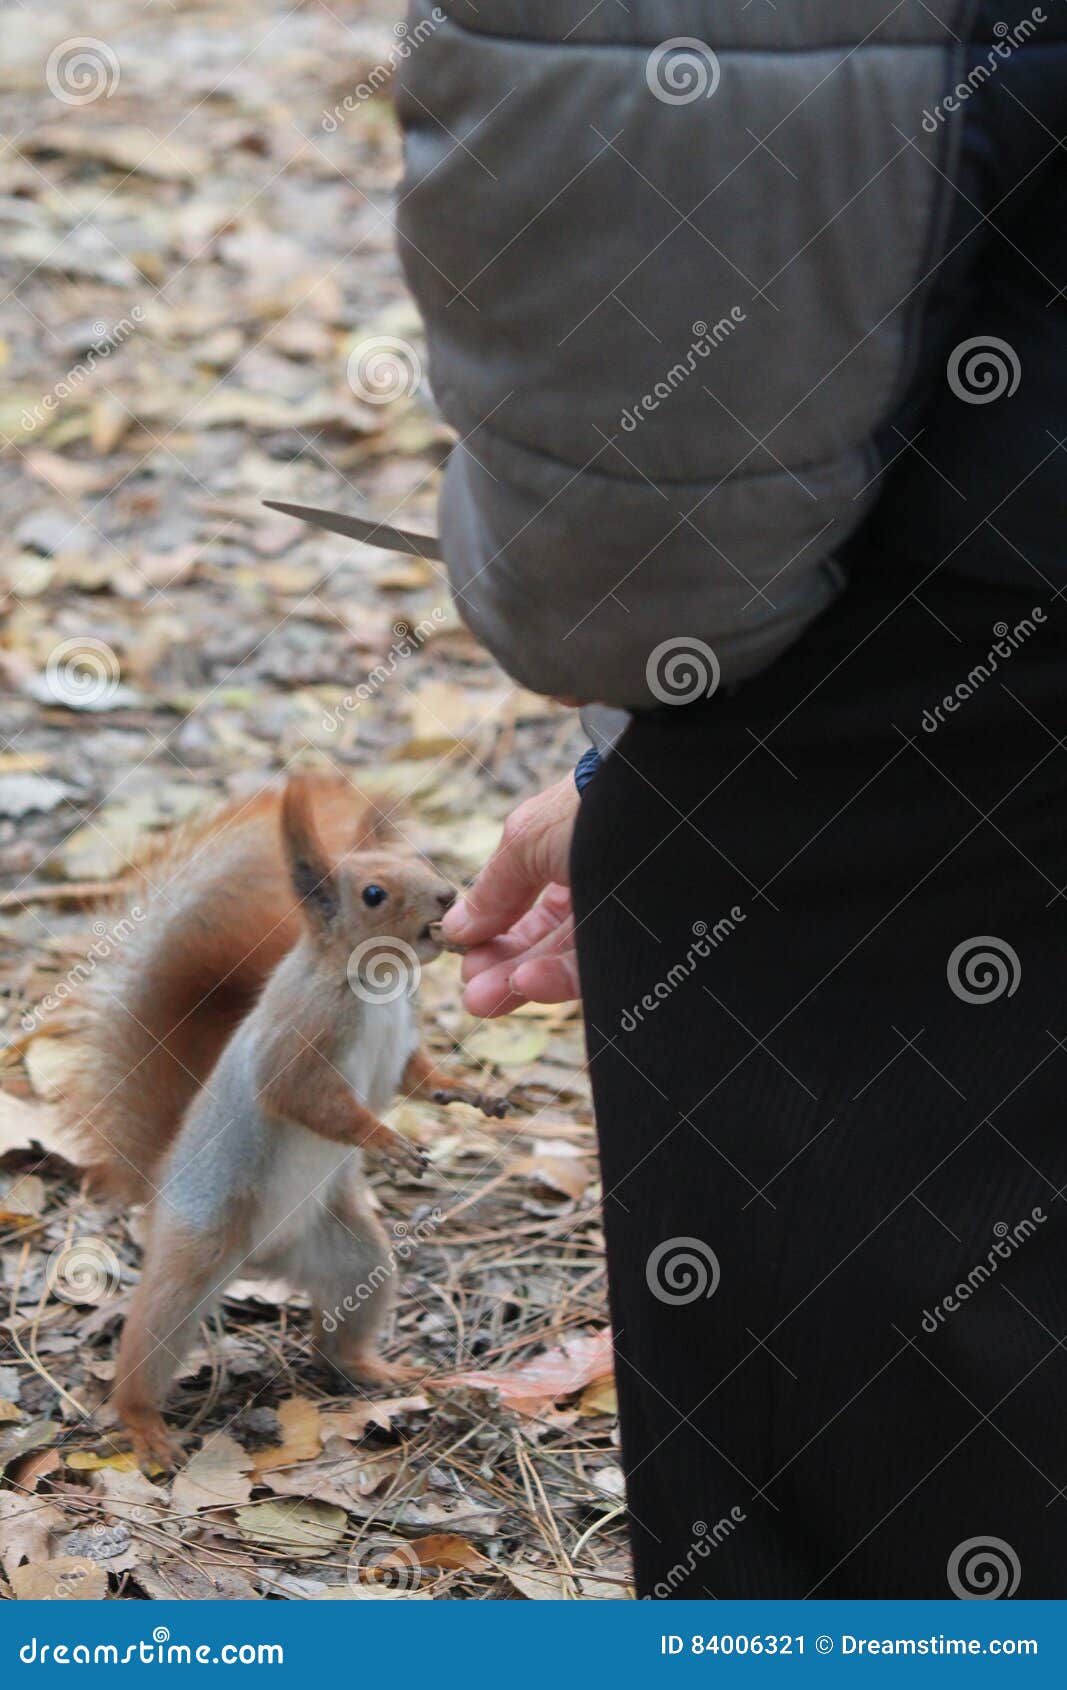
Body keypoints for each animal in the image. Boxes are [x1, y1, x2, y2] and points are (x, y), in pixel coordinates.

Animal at [59, 772, 506, 1467]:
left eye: (420, 861)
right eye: (373, 894)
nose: (447, 895)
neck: (376, 982)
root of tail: (260, 1263)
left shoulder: (401, 1044)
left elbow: (419, 1078)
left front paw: (472, 1094)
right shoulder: (298, 1040)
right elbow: (304, 1097)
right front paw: (386, 1140)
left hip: (350, 1256)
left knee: (339, 1329)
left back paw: (376, 1368)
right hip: (195, 1252)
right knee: (148, 1345)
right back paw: (144, 1425)